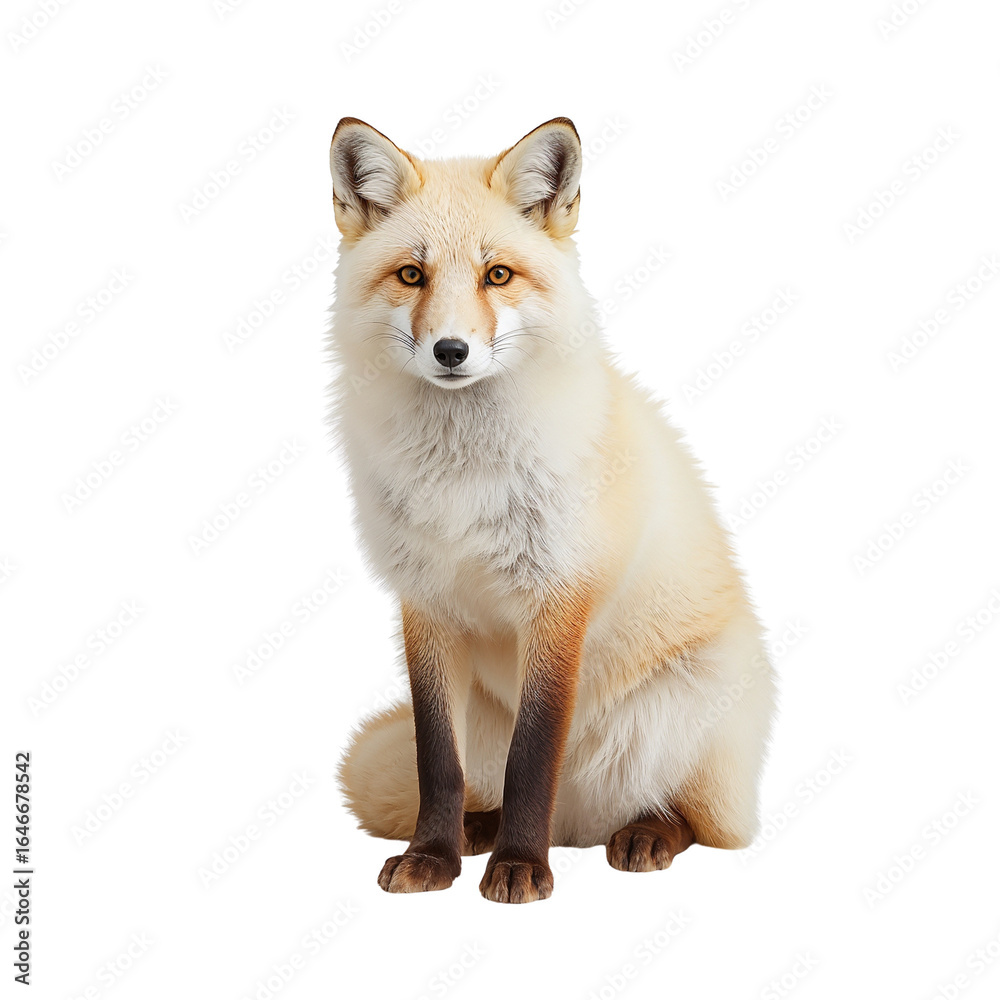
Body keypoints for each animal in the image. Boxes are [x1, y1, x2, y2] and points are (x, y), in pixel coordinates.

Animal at [329, 116, 776, 903]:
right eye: (411, 275)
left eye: (497, 275)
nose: (451, 350)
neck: (462, 479)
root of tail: (582, 821)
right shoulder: (425, 601)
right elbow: (436, 762)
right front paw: (434, 856)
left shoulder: (559, 594)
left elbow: (534, 756)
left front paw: (519, 869)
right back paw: (480, 830)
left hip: (690, 708)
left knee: (691, 818)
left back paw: (642, 833)